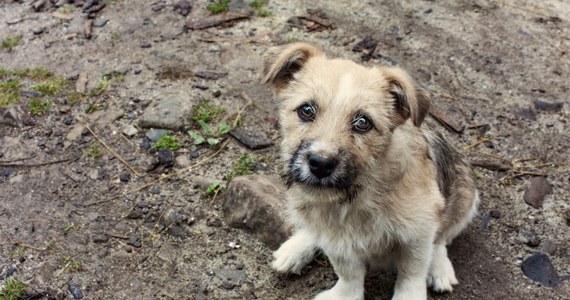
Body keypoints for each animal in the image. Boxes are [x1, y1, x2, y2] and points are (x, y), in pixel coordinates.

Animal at [262, 42, 480, 300]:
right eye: (306, 110)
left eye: (362, 122)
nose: (321, 164)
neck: (359, 192)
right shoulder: (336, 238)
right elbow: (348, 271)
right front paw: (345, 295)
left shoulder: (419, 231)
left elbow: (413, 270)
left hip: (466, 198)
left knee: (442, 238)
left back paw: (440, 268)